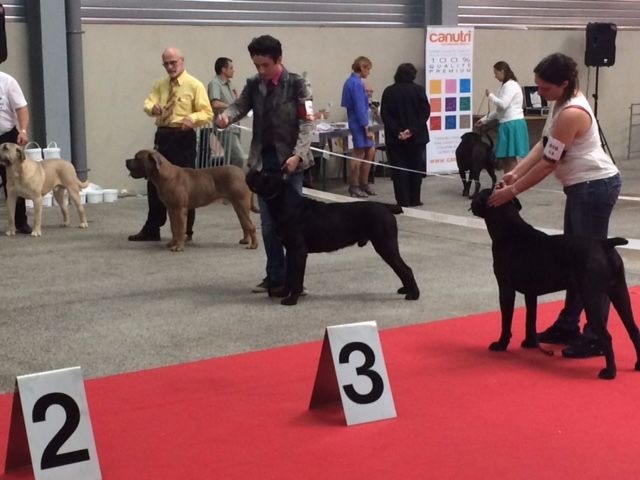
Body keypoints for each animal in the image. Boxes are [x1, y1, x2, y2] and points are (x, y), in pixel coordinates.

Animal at [126, 150, 258, 253]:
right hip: (239, 207)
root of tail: (242, 173)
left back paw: (253, 245)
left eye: (137, 157)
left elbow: (180, 229)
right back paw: (246, 240)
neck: (164, 175)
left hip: (241, 205)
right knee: (245, 224)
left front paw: (178, 247)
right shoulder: (171, 210)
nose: (126, 160)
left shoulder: (179, 210)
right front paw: (172, 243)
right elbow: (173, 228)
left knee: (251, 226)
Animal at [245, 171, 420, 306]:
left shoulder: (298, 251)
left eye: (264, 174)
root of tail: (386, 207)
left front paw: (292, 300)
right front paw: (283, 293)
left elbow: (296, 277)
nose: (250, 169)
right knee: (401, 268)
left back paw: (413, 295)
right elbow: (289, 276)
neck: (287, 204)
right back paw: (406, 290)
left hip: (385, 245)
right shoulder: (290, 250)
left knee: (406, 269)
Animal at [470, 189, 640, 380]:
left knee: (606, 336)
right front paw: (530, 343)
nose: (471, 201)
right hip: (619, 292)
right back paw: (638, 365)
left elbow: (506, 321)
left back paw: (609, 372)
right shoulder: (531, 294)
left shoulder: (506, 289)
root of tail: (604, 244)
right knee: (634, 329)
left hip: (591, 297)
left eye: (478, 195)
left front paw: (501, 344)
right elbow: (530, 319)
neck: (508, 230)